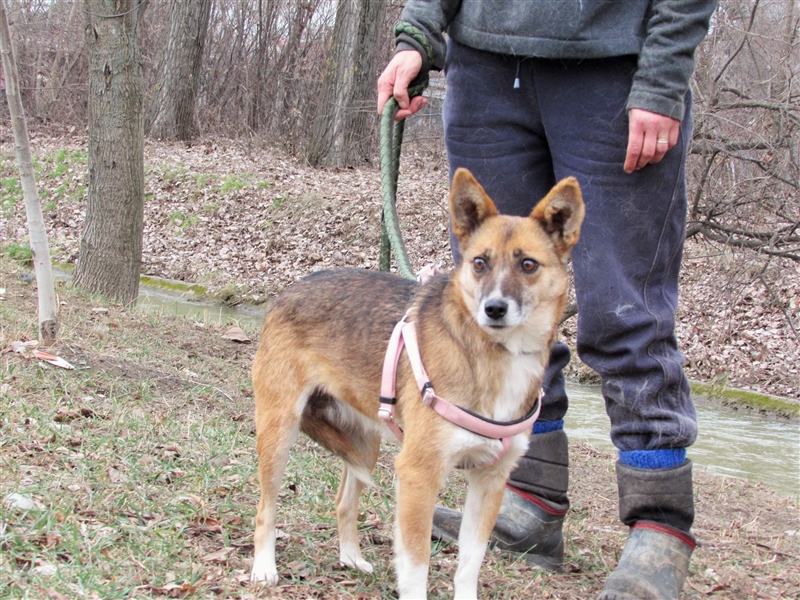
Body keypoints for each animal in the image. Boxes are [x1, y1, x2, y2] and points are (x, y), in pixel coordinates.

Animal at [249, 168, 584, 598]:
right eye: (479, 263)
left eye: (528, 264)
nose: (493, 309)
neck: (492, 355)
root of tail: (285, 292)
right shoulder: (417, 474)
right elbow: (415, 566)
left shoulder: (490, 483)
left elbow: (469, 563)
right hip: (279, 430)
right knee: (266, 508)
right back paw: (264, 568)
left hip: (365, 444)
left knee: (344, 501)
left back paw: (351, 557)